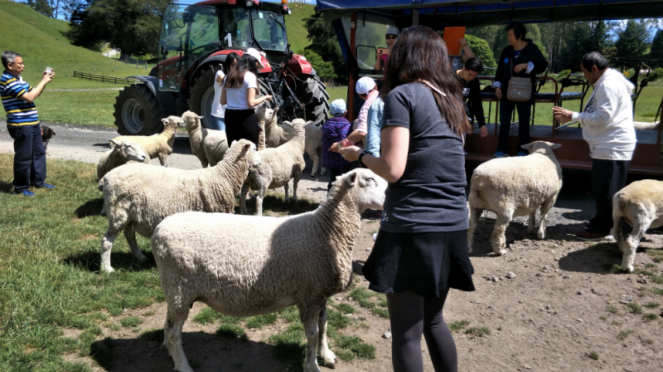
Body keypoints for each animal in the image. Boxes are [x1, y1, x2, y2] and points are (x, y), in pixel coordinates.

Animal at [98, 140, 262, 274]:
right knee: (107, 240)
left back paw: (140, 257)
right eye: (254, 148)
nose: (260, 163)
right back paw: (107, 268)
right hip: (118, 211)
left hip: (129, 213)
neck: (224, 176)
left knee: (129, 235)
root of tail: (106, 178)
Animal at [150, 169, 390, 372]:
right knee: (173, 331)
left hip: (175, 292)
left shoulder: (319, 293)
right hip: (179, 288)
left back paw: (169, 352)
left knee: (169, 325)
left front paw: (327, 355)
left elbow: (324, 324)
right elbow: (312, 334)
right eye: (369, 179)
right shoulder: (309, 295)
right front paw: (312, 366)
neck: (322, 230)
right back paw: (183, 366)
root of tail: (159, 230)